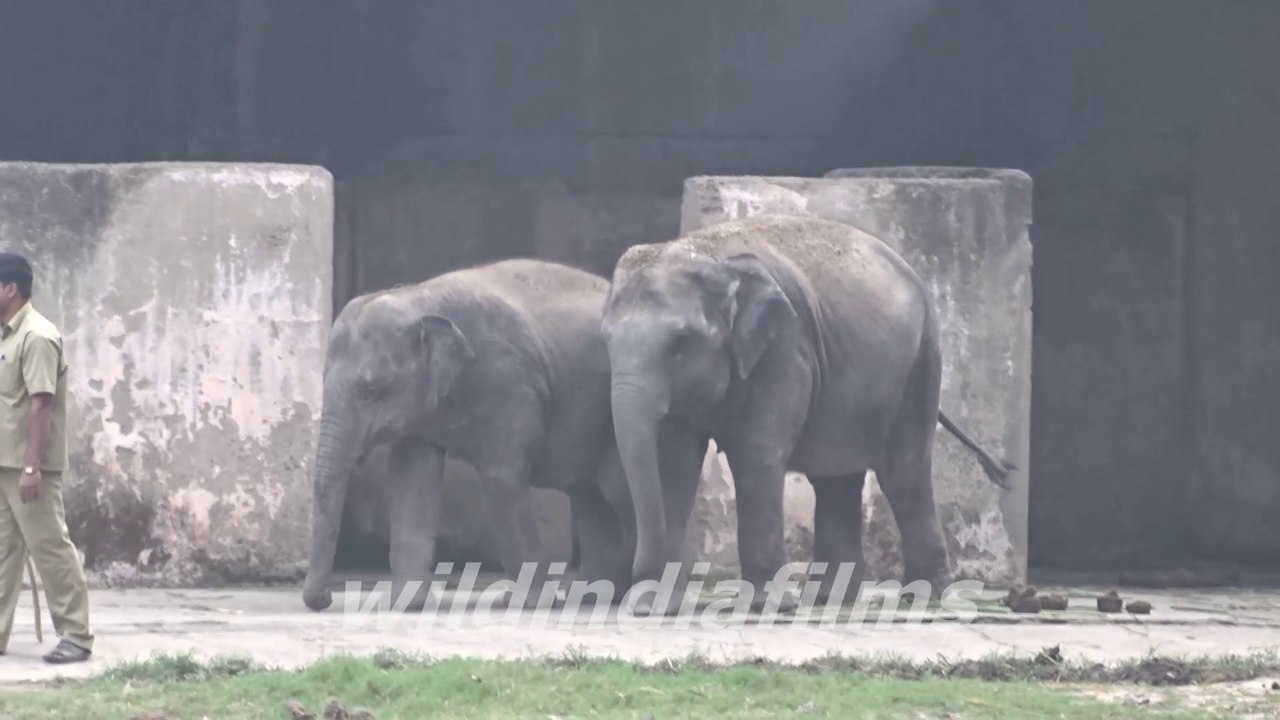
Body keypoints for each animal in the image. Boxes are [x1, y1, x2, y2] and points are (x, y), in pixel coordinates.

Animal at [302, 258, 636, 612]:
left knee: (617, 490)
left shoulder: (509, 382)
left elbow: (501, 479)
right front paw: (406, 605)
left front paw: (521, 603)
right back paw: (593, 594)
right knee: (590, 494)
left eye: (372, 391)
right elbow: (410, 479)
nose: (326, 598)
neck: (418, 297)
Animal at [600, 213, 1014, 613]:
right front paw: (656, 607)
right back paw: (833, 599)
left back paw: (924, 596)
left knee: (903, 473)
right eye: (606, 339)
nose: (633, 594)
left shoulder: (785, 346)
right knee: (836, 477)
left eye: (681, 342)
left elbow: (756, 453)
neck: (707, 253)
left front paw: (766, 606)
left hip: (923, 359)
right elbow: (673, 462)